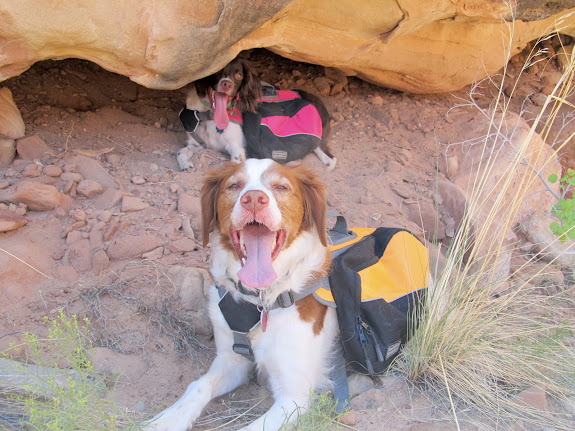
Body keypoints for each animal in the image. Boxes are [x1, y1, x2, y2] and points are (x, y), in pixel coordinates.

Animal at [144, 159, 340, 431]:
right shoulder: (231, 360)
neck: (261, 300)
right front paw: (167, 419)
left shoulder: (294, 397)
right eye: (234, 185)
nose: (254, 199)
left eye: (281, 187)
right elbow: (198, 385)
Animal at [178, 57, 336, 172]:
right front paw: (185, 163)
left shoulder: (237, 148)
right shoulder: (196, 143)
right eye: (217, 72)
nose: (227, 84)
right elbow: (181, 151)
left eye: (238, 75)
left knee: (328, 157)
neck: (209, 116)